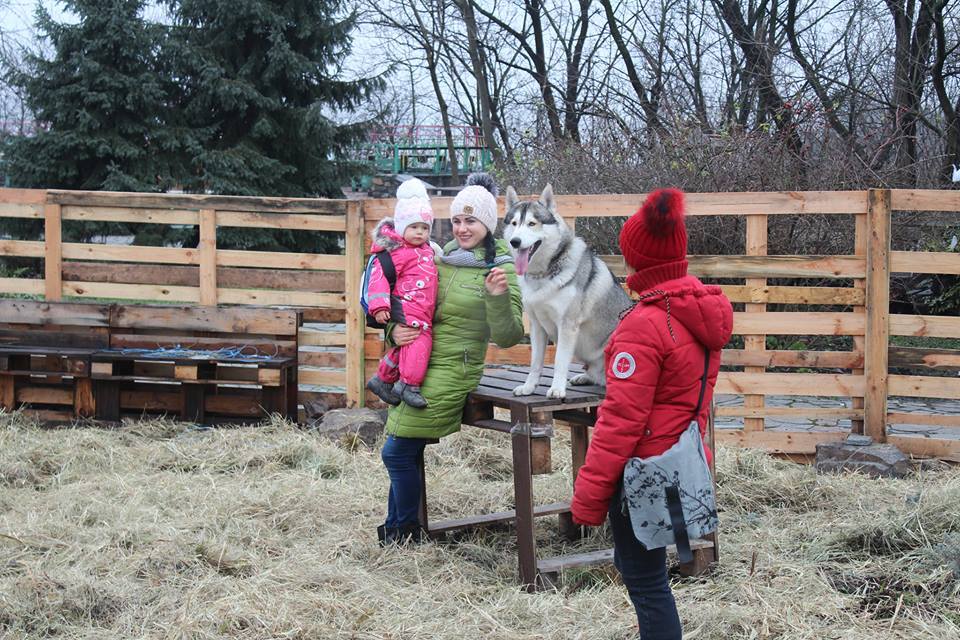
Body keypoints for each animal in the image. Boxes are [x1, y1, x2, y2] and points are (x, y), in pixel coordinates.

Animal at [506, 182, 632, 398]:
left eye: (532, 223)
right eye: (514, 223)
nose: (515, 241)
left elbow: (559, 361)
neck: (543, 274)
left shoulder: (567, 325)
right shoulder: (537, 326)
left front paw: (557, 389)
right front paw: (529, 387)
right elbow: (535, 363)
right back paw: (584, 377)